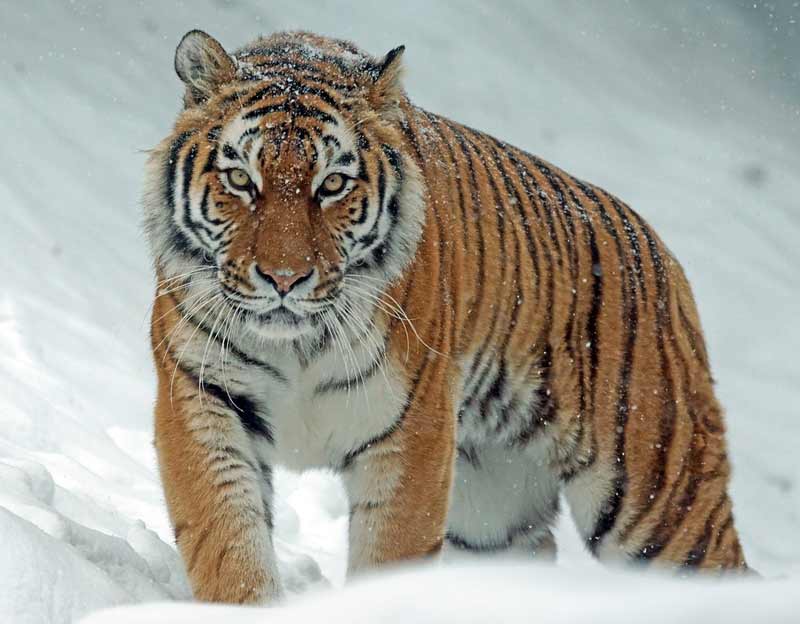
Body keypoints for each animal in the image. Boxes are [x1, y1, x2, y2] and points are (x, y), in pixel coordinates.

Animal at [144, 29, 748, 604]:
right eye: (241, 180)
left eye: (332, 184)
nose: (285, 279)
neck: (296, 345)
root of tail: (664, 256)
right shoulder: (201, 399)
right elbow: (228, 543)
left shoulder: (412, 431)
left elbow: (389, 556)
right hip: (493, 513)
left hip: (659, 499)